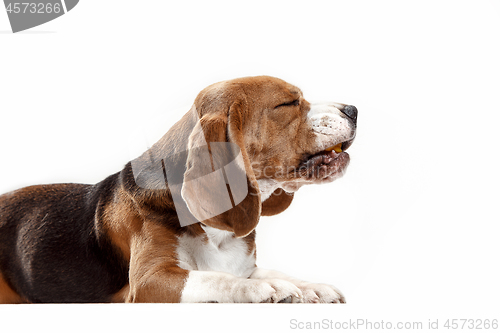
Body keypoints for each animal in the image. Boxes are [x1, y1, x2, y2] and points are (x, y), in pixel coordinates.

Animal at [0, 76, 356, 304]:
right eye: (289, 103)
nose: (353, 109)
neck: (215, 231)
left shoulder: (244, 266)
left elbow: (262, 271)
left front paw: (311, 287)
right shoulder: (150, 281)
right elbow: (218, 278)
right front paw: (268, 287)